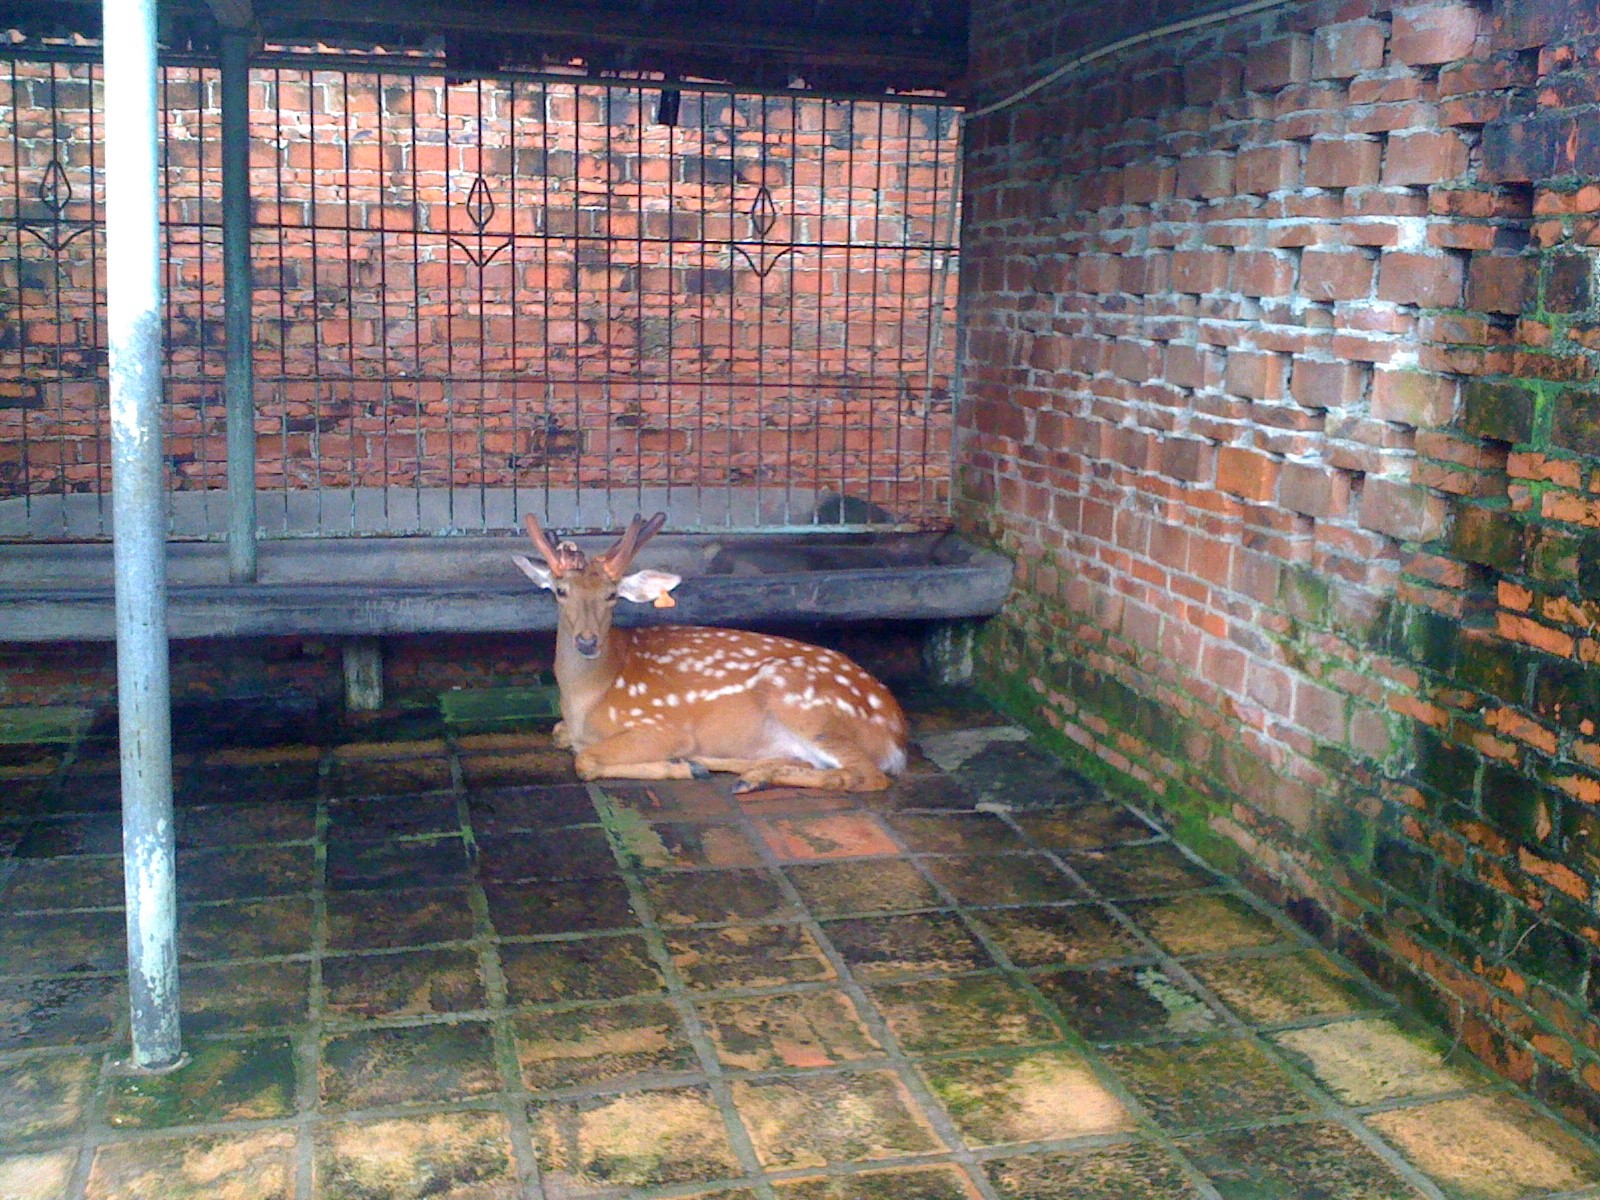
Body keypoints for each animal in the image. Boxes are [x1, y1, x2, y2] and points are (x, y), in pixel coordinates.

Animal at [511, 512, 909, 793]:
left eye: (612, 595)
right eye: (560, 591)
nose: (587, 641)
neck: (588, 697)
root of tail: (897, 733)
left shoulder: (660, 726)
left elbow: (585, 760)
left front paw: (676, 766)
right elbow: (560, 735)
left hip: (803, 703)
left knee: (866, 775)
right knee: (808, 762)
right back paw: (742, 774)